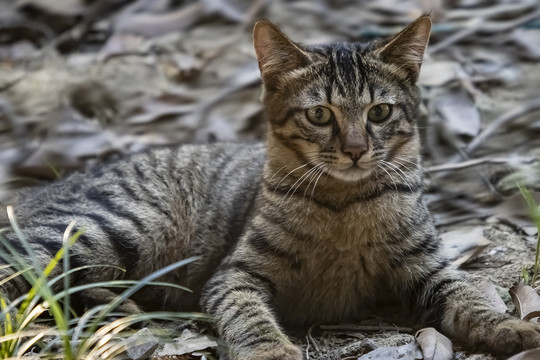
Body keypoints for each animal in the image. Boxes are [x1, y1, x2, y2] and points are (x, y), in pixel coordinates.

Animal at [1, 14, 540, 360]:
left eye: (380, 112)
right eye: (319, 114)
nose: (355, 149)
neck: (344, 206)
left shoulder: (429, 269)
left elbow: (471, 295)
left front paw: (509, 326)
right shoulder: (236, 275)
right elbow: (248, 315)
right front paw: (270, 351)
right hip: (114, 226)